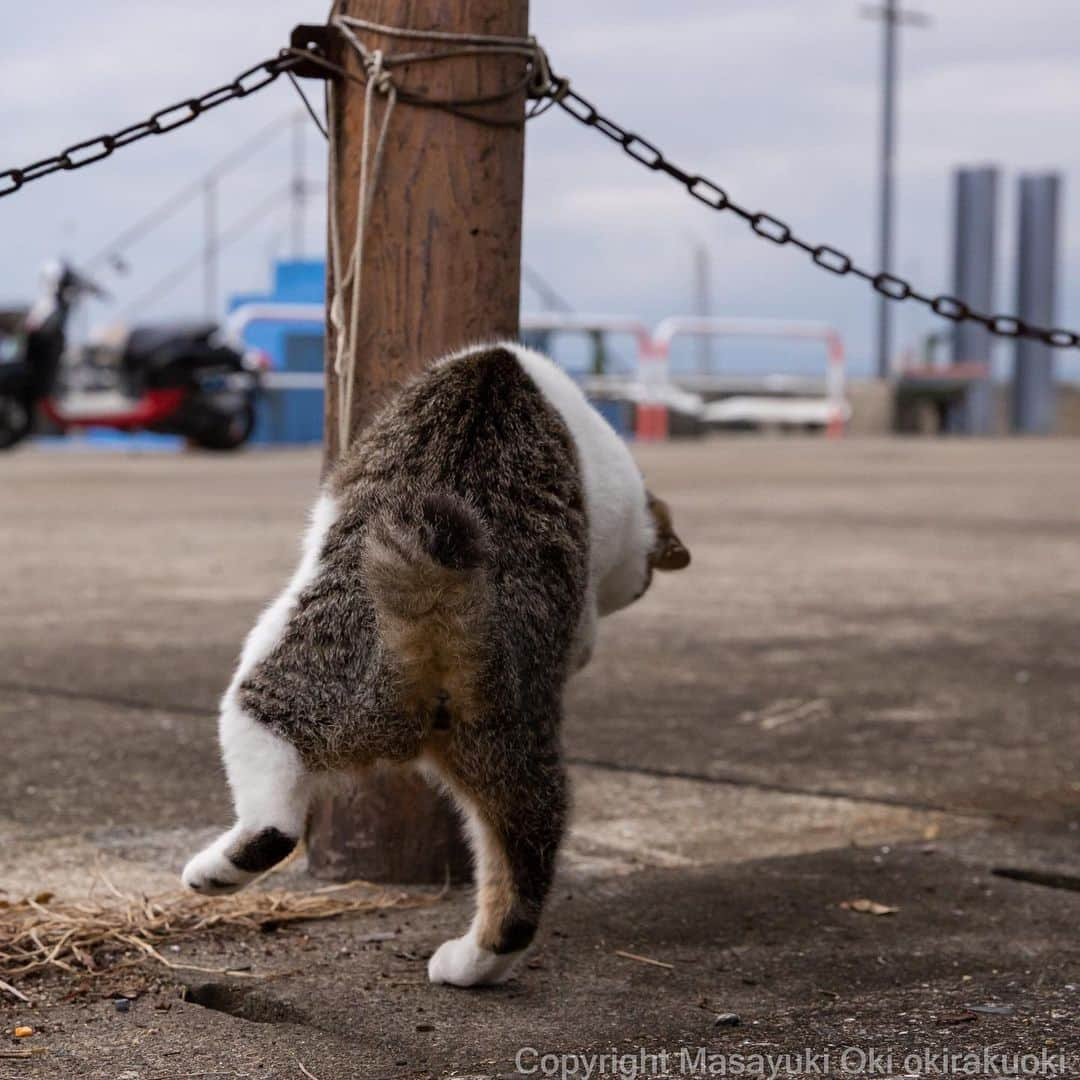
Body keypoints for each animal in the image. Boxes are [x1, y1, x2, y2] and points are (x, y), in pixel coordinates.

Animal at [183, 343, 691, 989]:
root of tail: (441, 608)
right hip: (514, 751)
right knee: (522, 869)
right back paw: (470, 965)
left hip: (278, 685)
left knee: (273, 823)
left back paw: (211, 872)